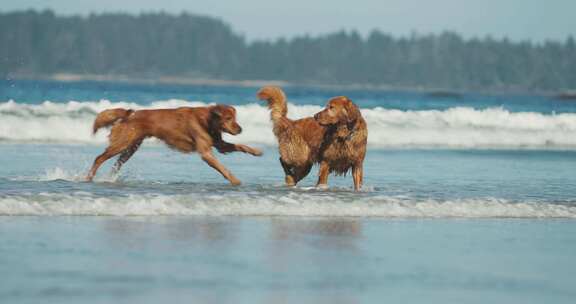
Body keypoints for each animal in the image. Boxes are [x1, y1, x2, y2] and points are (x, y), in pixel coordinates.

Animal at [85, 104, 260, 185]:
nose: (240, 129)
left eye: (235, 118)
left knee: (116, 164)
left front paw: (256, 151)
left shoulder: (220, 144)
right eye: (228, 118)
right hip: (121, 144)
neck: (207, 121)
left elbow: (240, 146)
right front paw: (235, 180)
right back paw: (89, 177)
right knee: (98, 158)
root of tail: (130, 113)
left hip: (130, 148)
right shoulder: (205, 153)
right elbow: (223, 168)